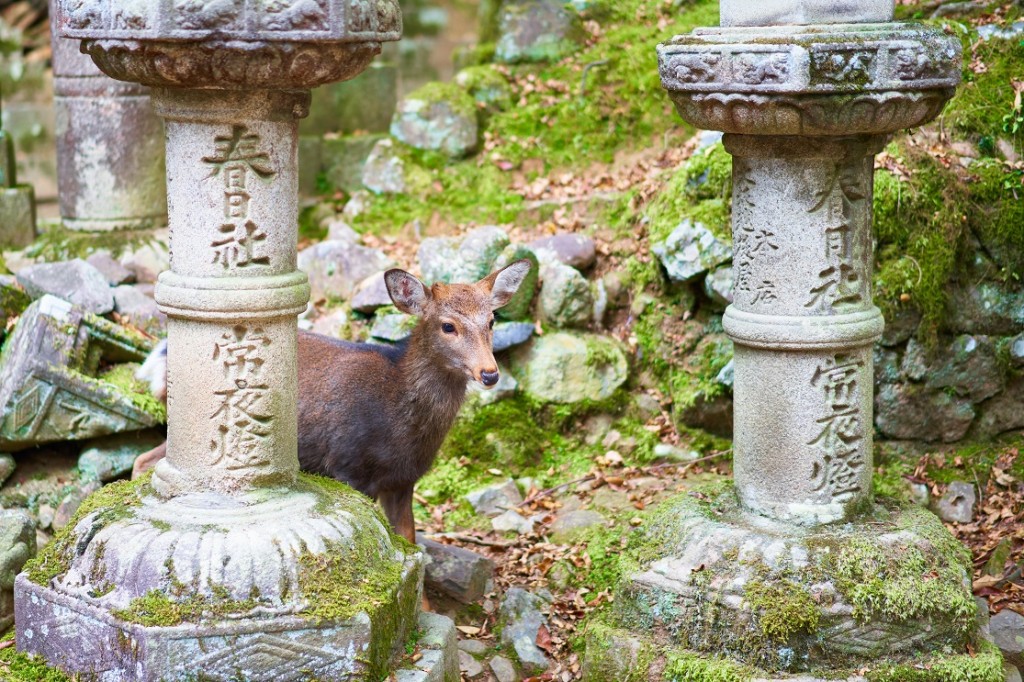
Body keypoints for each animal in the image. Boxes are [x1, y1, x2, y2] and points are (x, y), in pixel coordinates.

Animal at [132, 258, 532, 544]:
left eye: (492, 320)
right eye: (448, 326)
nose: (490, 373)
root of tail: (159, 359)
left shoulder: (404, 479)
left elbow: (410, 542)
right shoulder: (347, 463)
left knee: (143, 458)